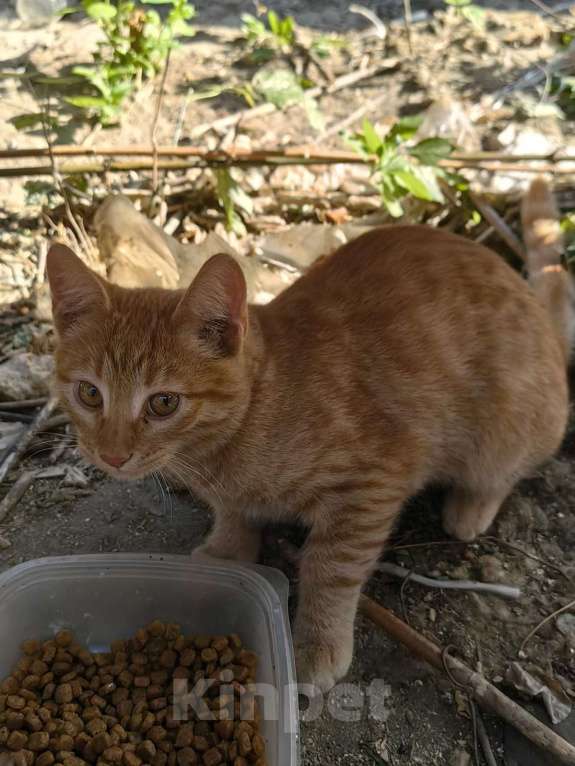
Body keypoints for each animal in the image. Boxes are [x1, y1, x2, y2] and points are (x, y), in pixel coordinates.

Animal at [48, 180, 572, 688]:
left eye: (163, 403)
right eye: (89, 394)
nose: (112, 456)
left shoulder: (371, 486)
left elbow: (330, 569)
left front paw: (318, 643)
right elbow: (234, 515)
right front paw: (228, 553)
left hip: (510, 430)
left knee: (508, 471)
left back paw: (470, 507)